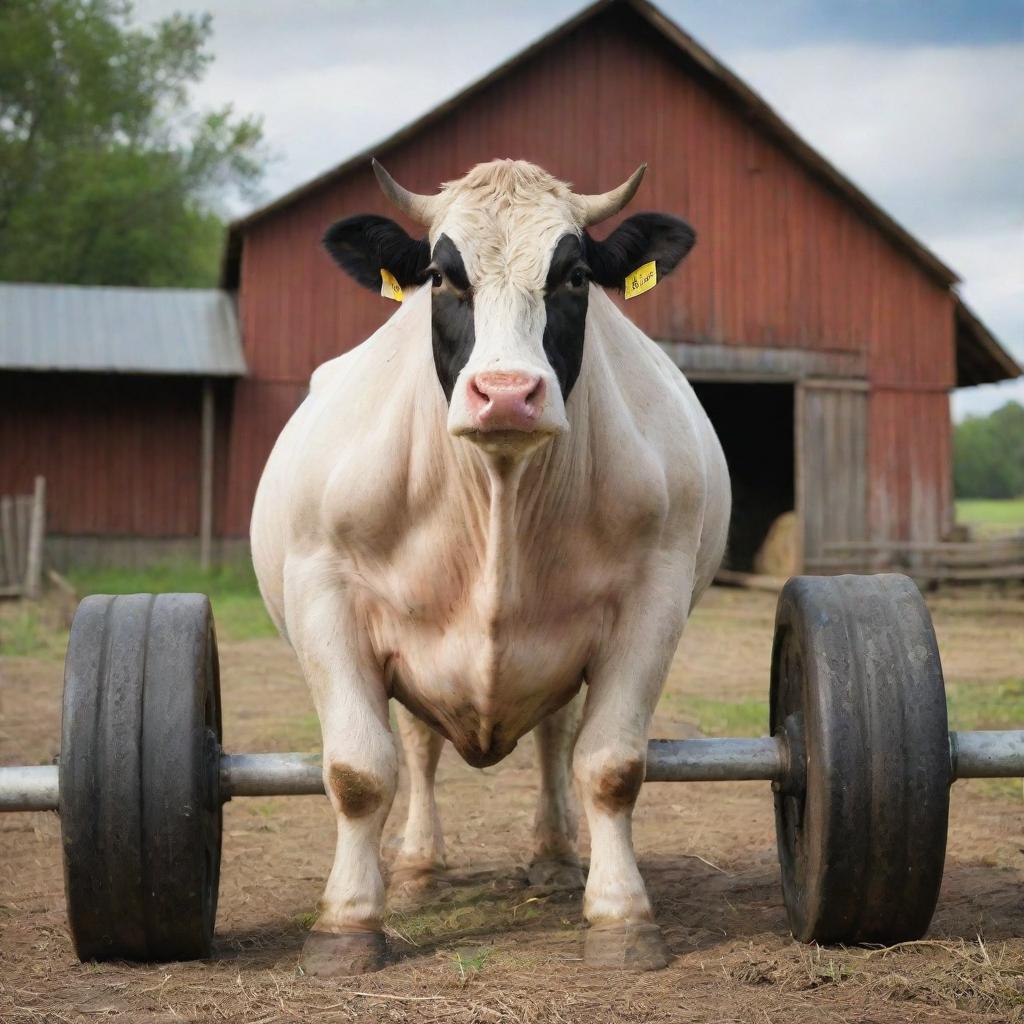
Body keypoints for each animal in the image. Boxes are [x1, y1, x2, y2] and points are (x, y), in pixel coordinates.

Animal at [250, 159, 733, 974]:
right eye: (443, 277)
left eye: (574, 275)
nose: (506, 395)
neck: (498, 496)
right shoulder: (325, 594)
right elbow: (358, 771)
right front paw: (347, 922)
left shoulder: (652, 600)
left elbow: (609, 765)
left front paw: (620, 913)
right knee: (418, 749)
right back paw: (417, 867)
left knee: (554, 739)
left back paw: (555, 857)